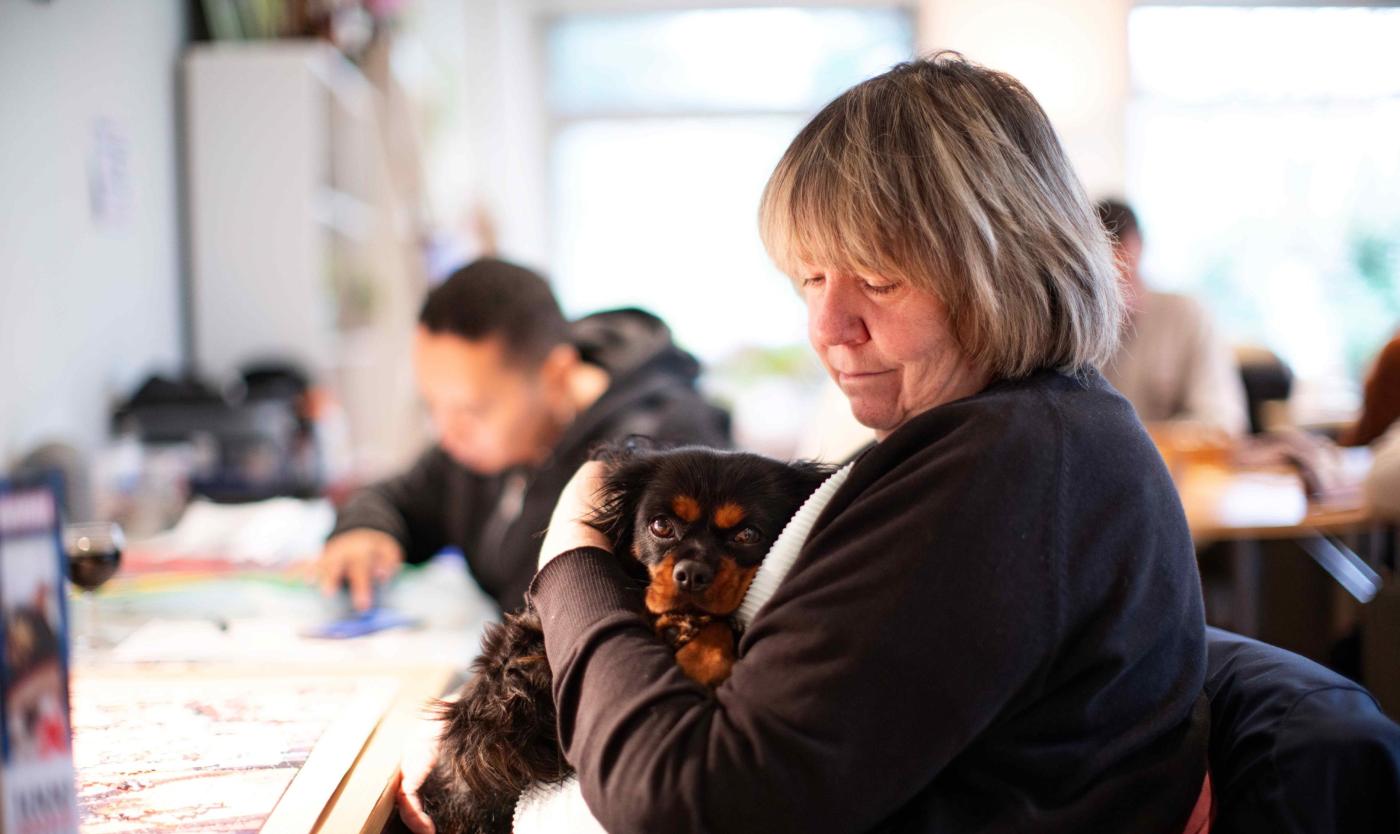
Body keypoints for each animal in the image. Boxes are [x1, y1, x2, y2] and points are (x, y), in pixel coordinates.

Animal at [420, 444, 823, 834]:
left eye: (748, 535)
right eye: (661, 526)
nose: (691, 574)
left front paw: (701, 655)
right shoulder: (518, 689)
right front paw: (696, 650)